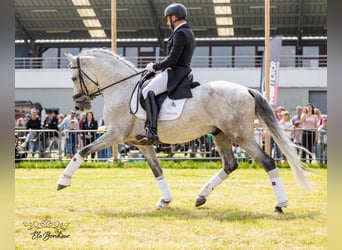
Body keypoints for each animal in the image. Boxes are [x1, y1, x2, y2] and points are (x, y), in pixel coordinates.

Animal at [56, 48, 310, 213]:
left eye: (74, 77)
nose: (80, 106)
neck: (122, 88)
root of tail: (246, 90)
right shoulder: (140, 143)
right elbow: (157, 170)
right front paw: (165, 201)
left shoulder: (114, 134)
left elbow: (84, 150)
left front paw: (63, 181)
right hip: (220, 134)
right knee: (230, 165)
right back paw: (201, 196)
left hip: (242, 136)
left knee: (267, 161)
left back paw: (280, 204)